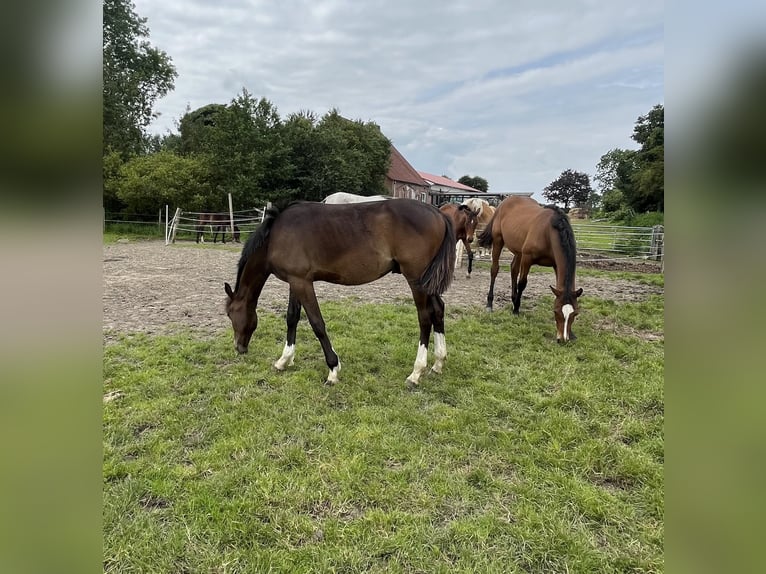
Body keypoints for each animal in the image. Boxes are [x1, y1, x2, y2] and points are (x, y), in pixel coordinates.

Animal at [225, 200, 460, 390]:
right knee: (438, 310)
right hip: (427, 282)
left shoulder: (303, 283)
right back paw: (438, 362)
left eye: (230, 314)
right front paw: (284, 360)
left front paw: (333, 370)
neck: (276, 235)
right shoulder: (296, 281)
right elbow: (292, 318)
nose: (239, 347)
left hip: (416, 281)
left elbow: (317, 324)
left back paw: (416, 373)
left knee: (425, 318)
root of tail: (438, 213)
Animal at [476, 196, 584, 344]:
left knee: (513, 269)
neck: (548, 232)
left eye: (575, 313)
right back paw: (490, 303)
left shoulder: (556, 265)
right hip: (499, 241)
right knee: (495, 270)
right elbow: (522, 283)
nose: (562, 339)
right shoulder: (527, 259)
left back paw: (513, 298)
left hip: (518, 251)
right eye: (556, 311)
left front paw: (571, 333)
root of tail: (504, 202)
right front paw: (516, 310)